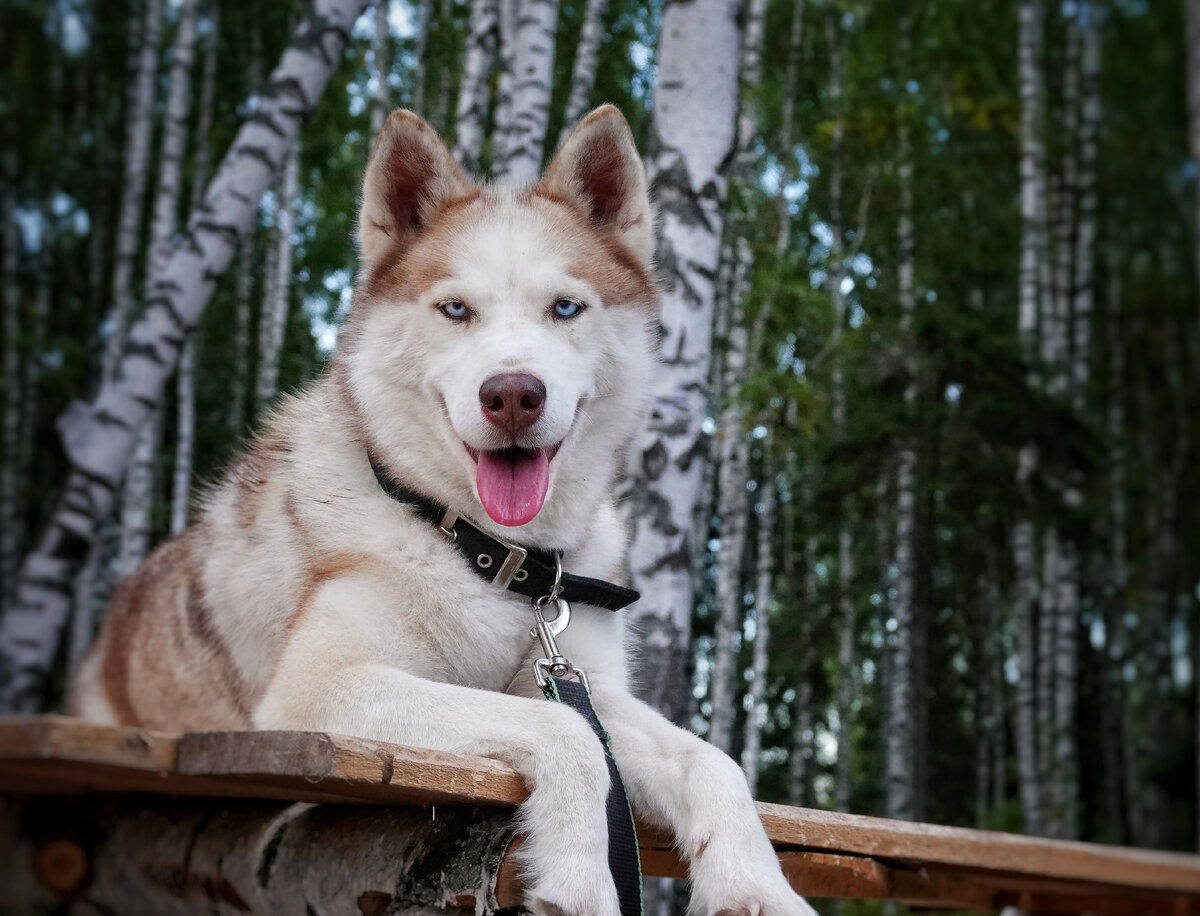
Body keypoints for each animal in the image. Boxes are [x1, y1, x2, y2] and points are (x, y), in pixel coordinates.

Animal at [75, 105, 816, 916]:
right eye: (456, 309)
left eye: (565, 308)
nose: (513, 393)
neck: (493, 558)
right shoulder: (321, 687)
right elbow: (568, 734)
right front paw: (581, 878)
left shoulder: (588, 685)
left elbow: (712, 760)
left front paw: (756, 887)